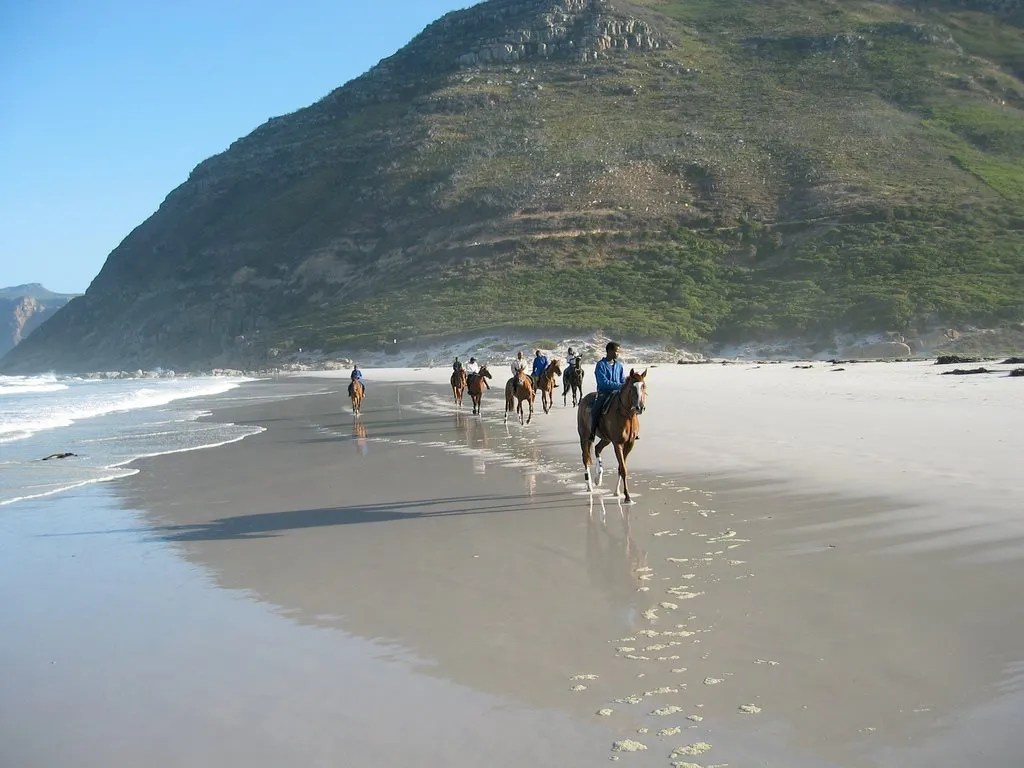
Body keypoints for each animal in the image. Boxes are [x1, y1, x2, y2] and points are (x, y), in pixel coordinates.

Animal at [576, 369, 647, 503]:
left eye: (644, 386)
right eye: (632, 388)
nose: (639, 408)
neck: (627, 415)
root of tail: (583, 400)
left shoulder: (629, 444)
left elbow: (620, 467)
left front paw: (617, 492)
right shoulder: (617, 443)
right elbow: (623, 469)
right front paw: (627, 497)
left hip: (606, 439)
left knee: (597, 448)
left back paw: (598, 478)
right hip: (584, 436)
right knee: (585, 458)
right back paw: (590, 487)